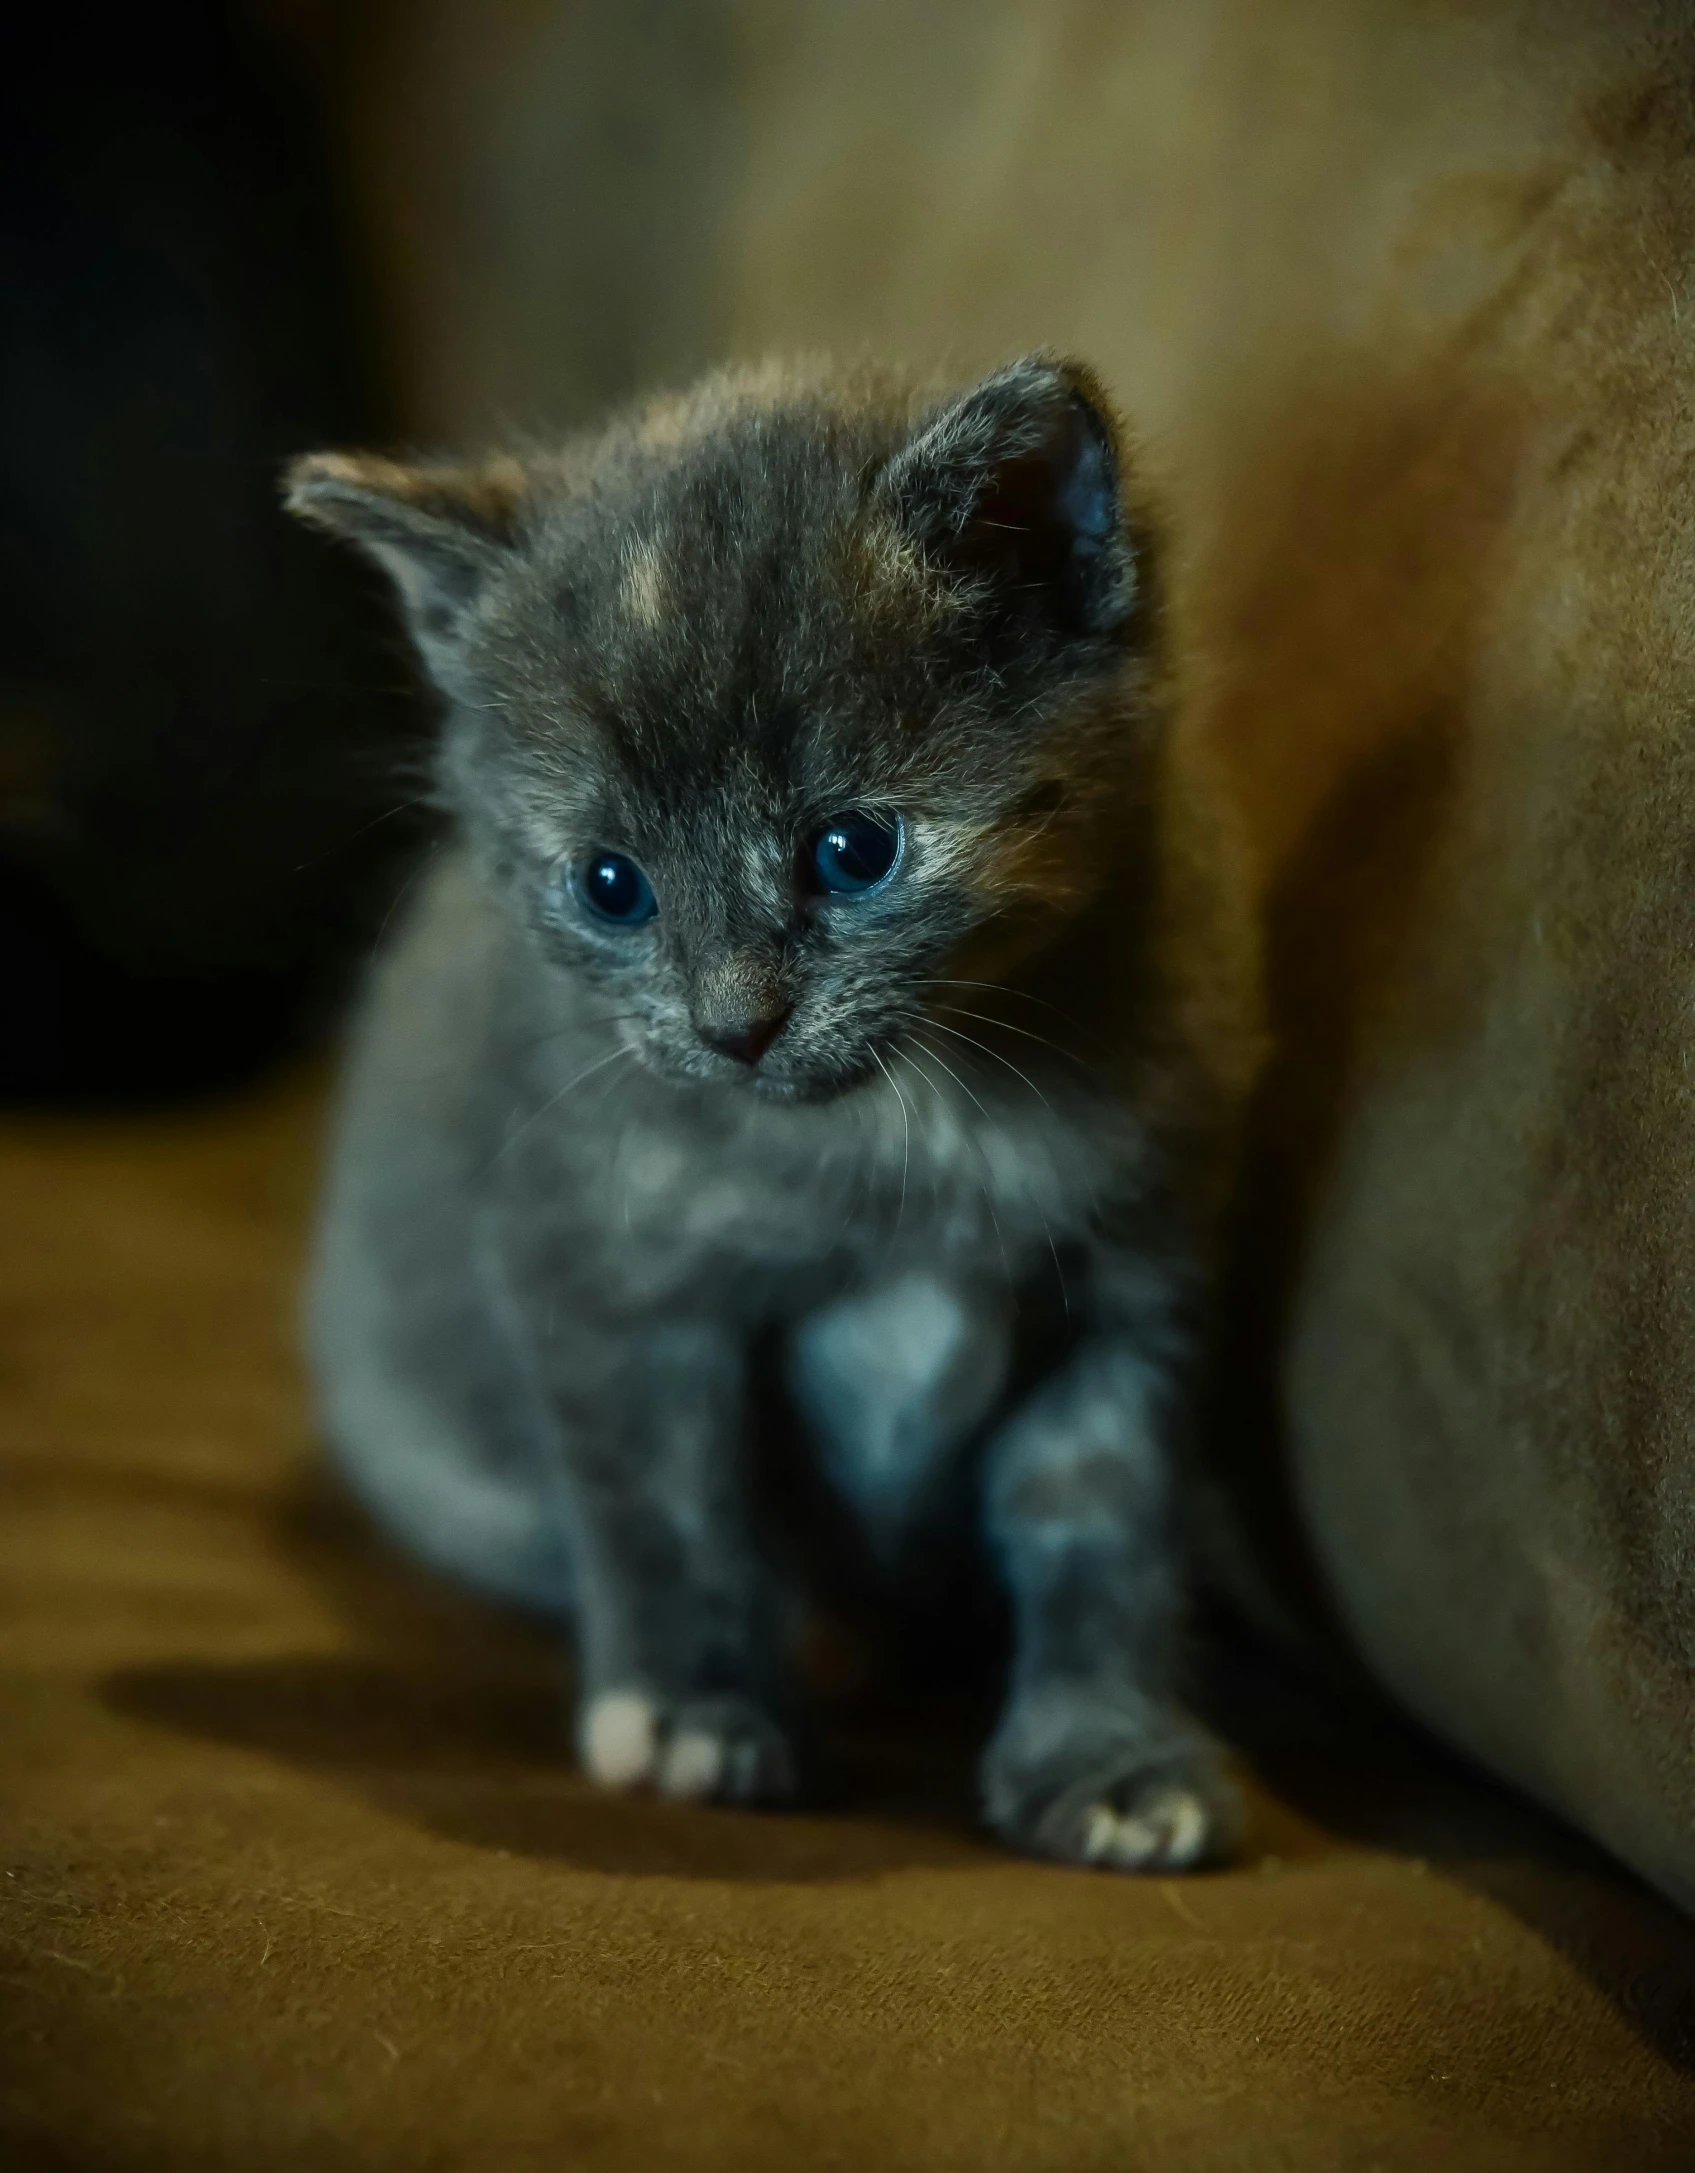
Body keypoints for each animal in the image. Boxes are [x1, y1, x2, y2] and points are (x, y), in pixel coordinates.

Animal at [291, 352, 1234, 1868]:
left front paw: (1110, 1755)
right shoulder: (603, 1273)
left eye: (852, 850)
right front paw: (695, 1710)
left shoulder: (1136, 1283)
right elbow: (673, 1509)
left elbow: (1106, 1528)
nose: (734, 1025)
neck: (912, 1138)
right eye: (610, 884)